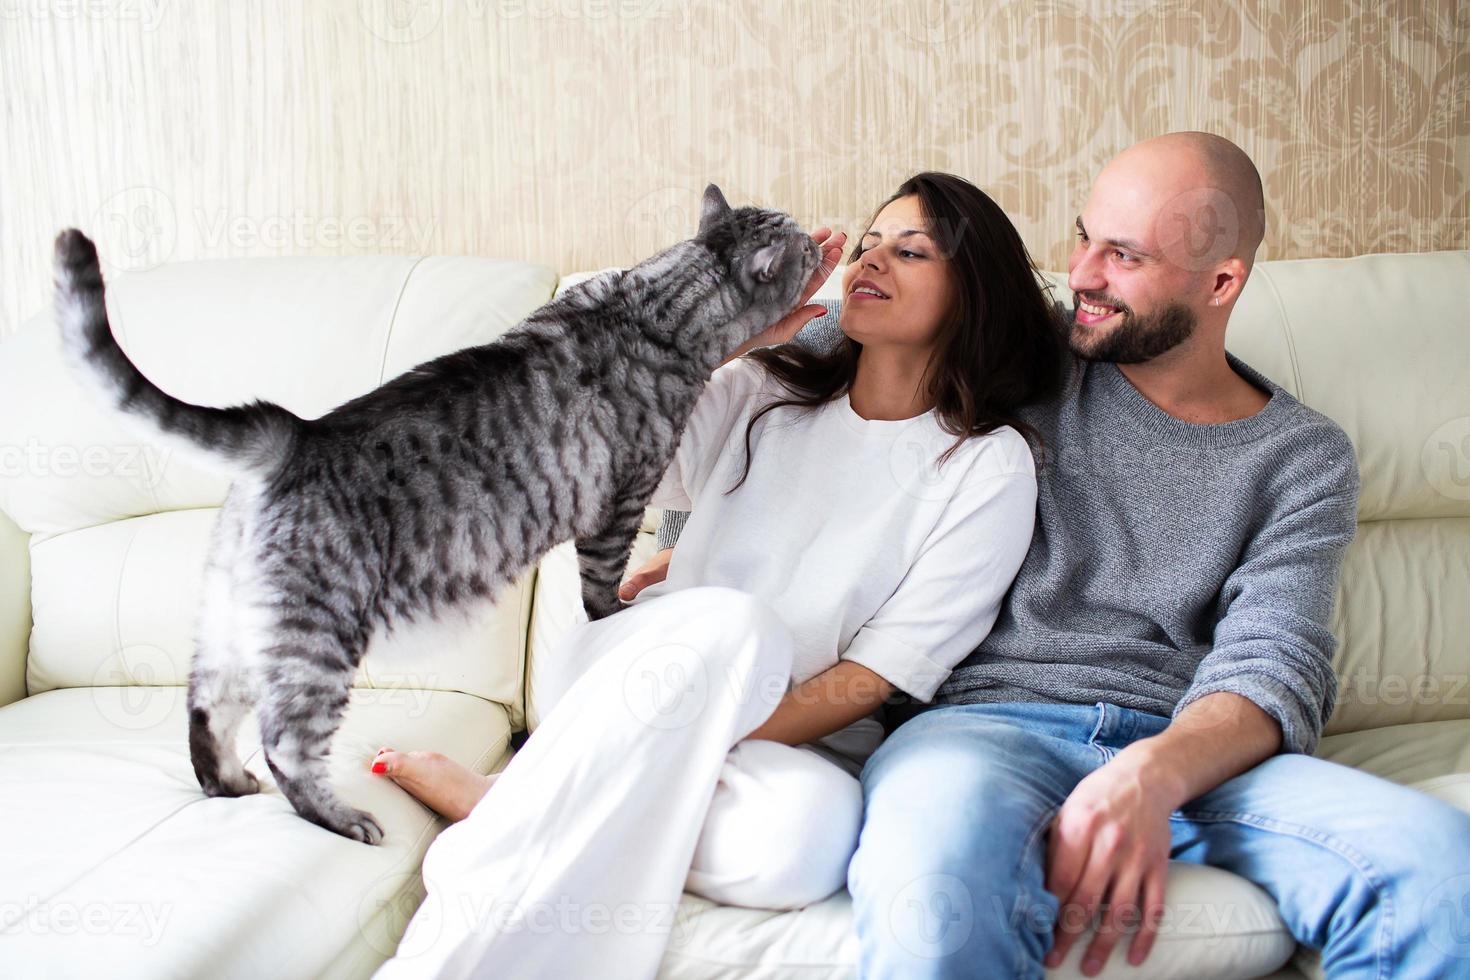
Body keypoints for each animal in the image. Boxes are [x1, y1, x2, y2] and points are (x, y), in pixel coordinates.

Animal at [51, 185, 823, 846]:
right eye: (803, 252)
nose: (822, 243)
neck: (649, 304)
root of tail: (293, 435)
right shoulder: (620, 501)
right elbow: (602, 588)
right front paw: (616, 614)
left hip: (234, 627)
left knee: (207, 711)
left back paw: (229, 785)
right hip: (317, 638)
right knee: (285, 744)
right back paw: (340, 817)